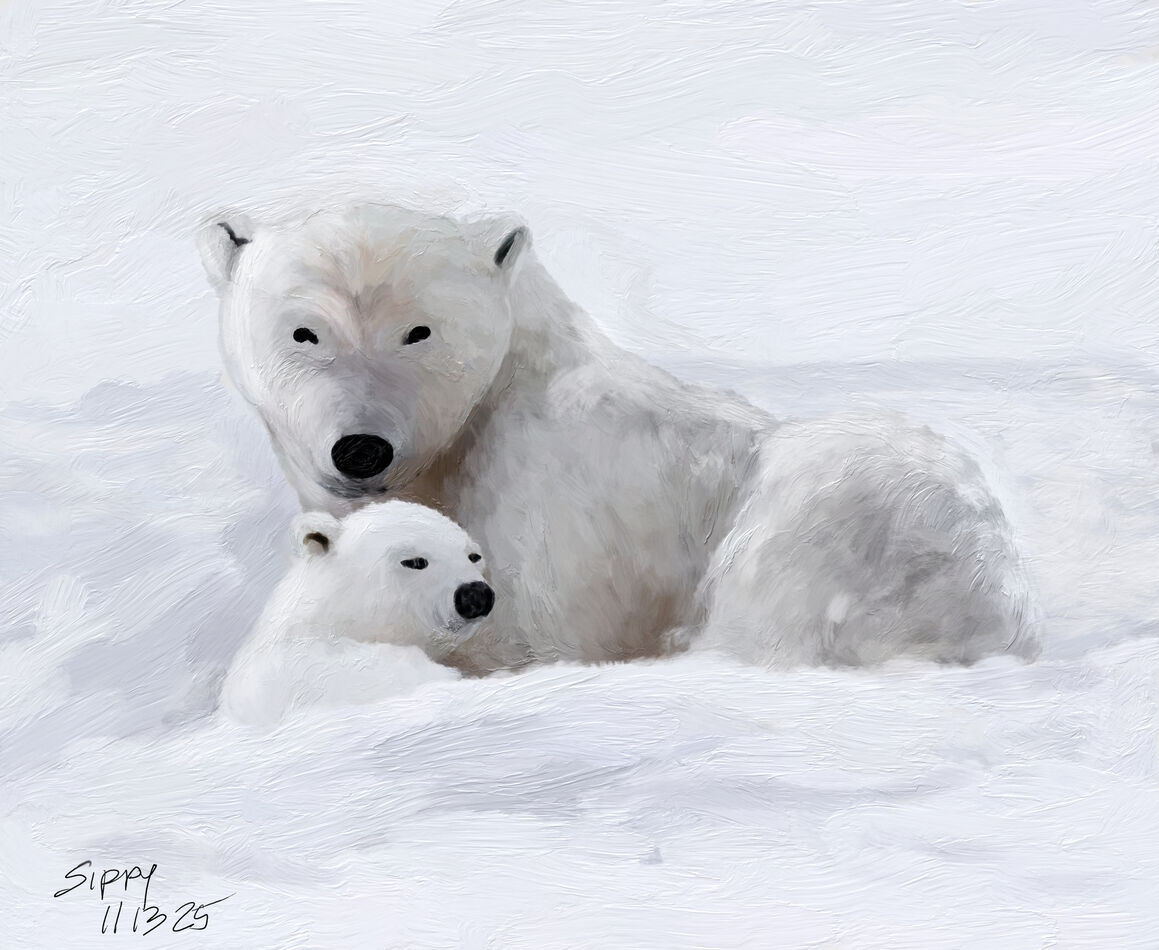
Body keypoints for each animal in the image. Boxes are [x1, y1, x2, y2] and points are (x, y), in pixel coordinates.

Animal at [199, 202, 1038, 673]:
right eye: (304, 331)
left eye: (419, 331)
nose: (361, 446)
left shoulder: (555, 504)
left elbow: (530, 635)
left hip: (849, 509)